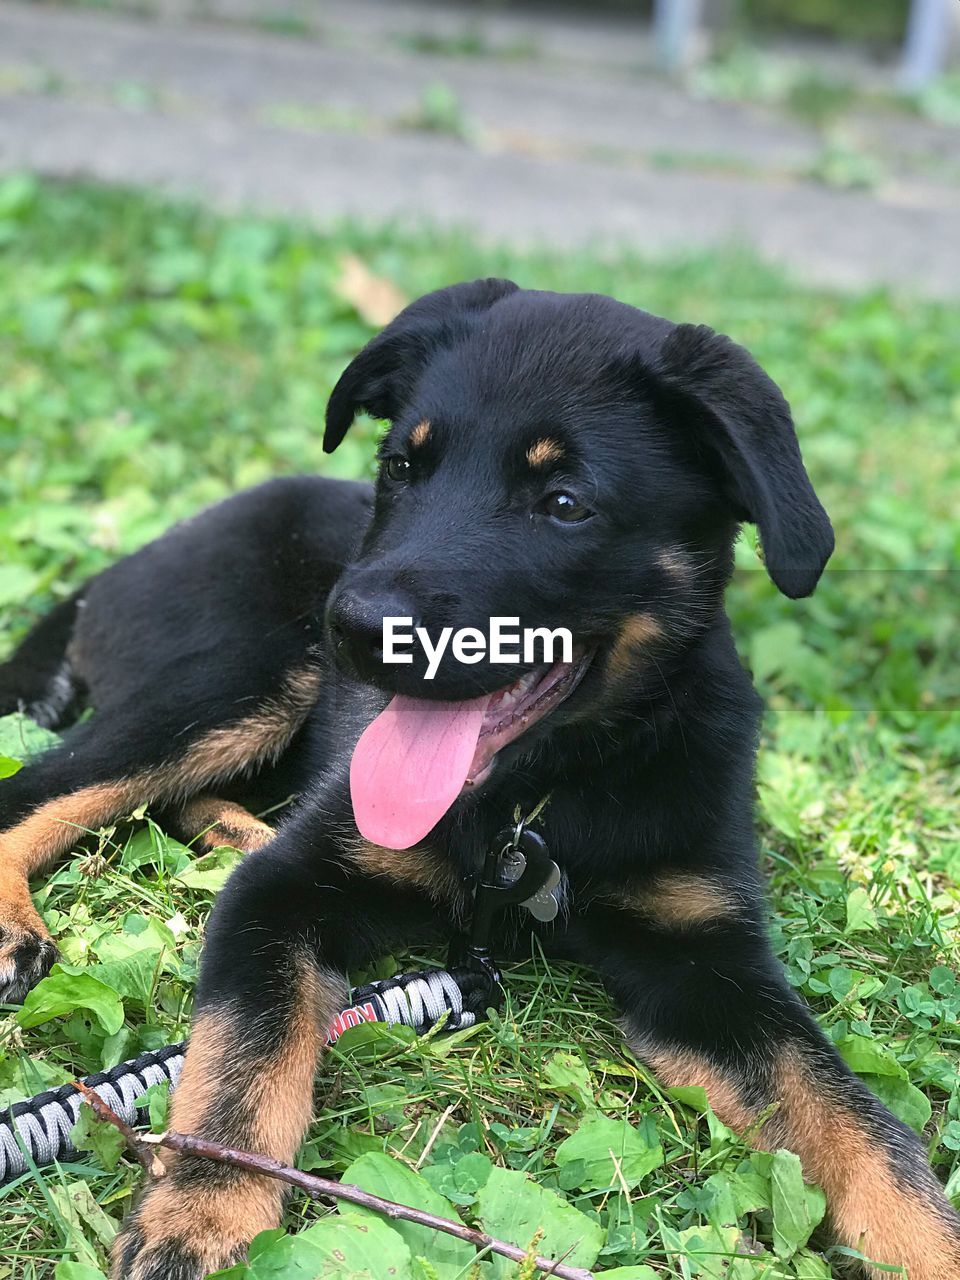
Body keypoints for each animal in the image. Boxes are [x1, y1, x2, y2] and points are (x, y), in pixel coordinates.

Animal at [1, 282, 960, 1280]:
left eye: (565, 503)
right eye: (400, 467)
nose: (357, 626)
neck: (545, 797)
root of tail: (125, 563)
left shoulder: (709, 964)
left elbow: (851, 1115)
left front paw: (928, 1242)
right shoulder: (279, 897)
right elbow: (245, 1056)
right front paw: (201, 1206)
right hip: (247, 672)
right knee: (45, 785)